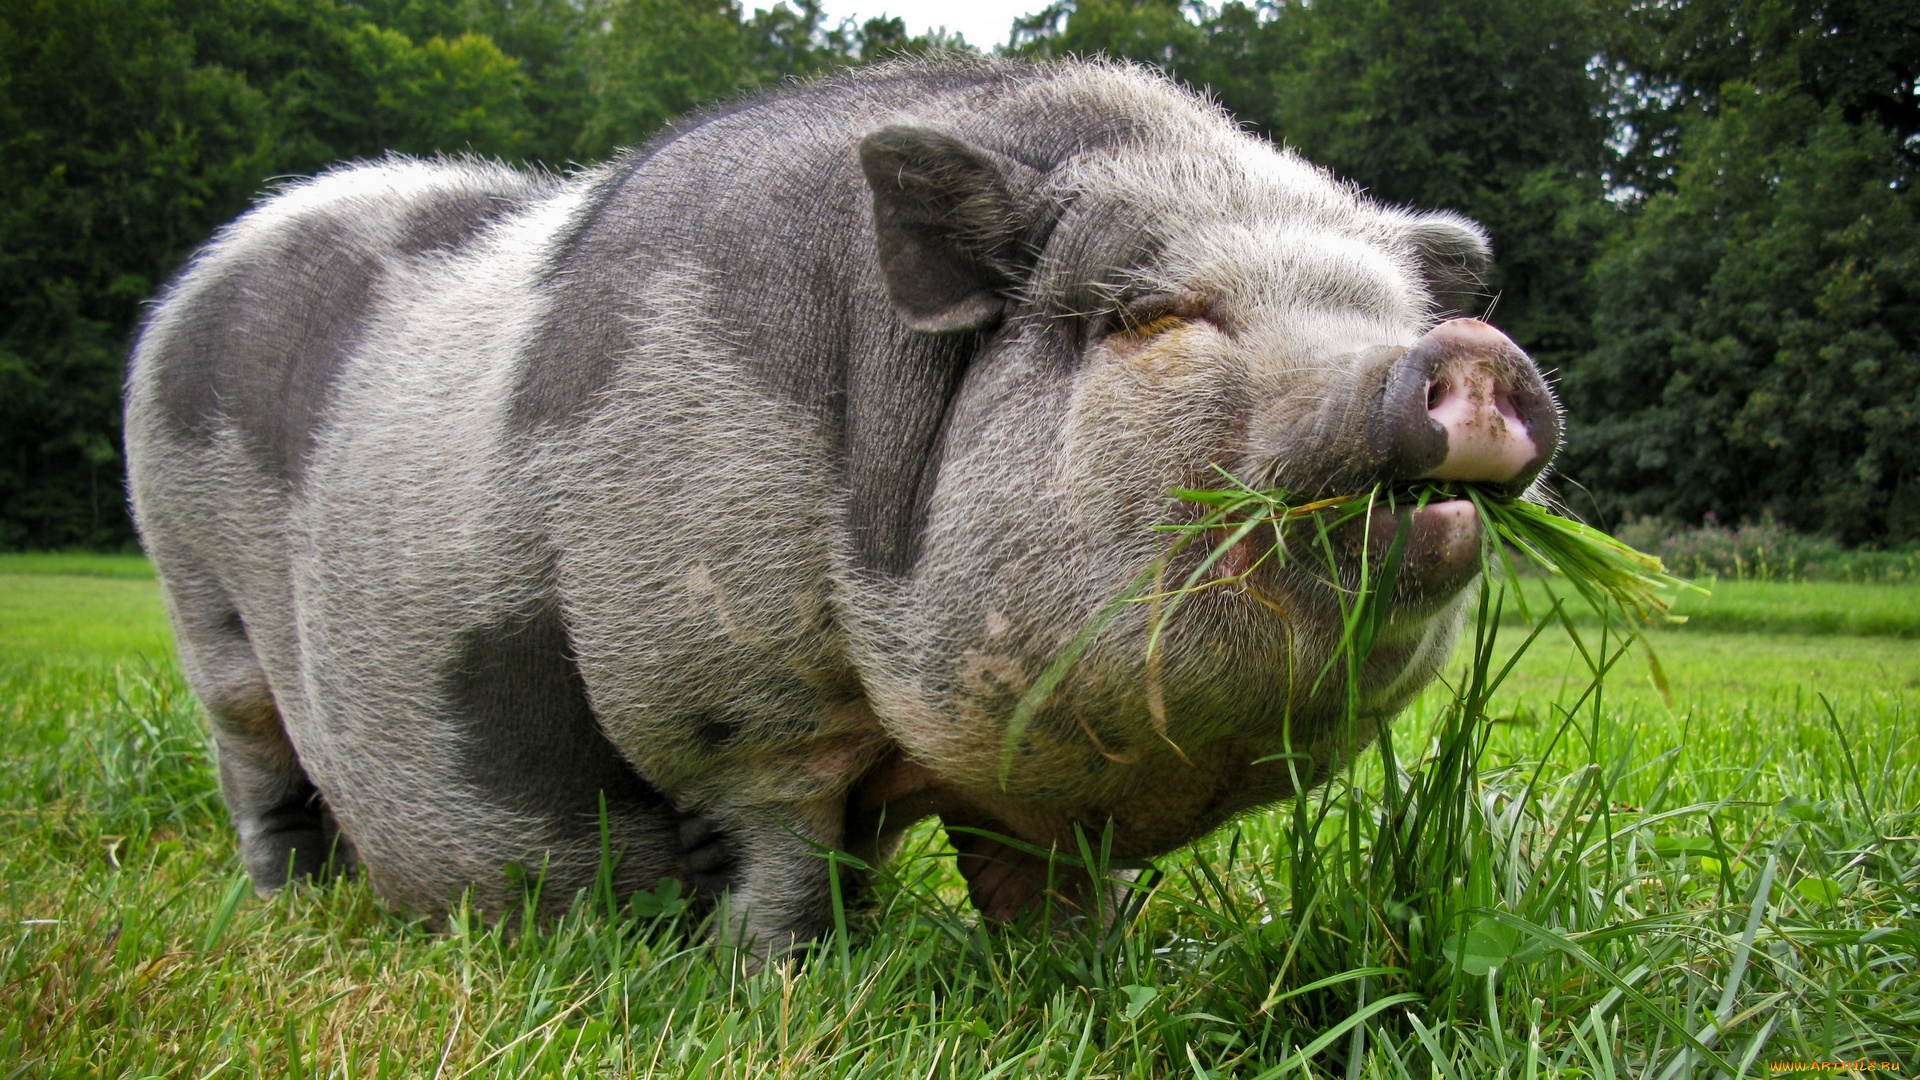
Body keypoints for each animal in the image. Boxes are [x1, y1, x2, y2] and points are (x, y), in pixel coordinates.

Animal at [123, 58, 1559, 956]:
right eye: (1157, 315)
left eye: (1397, 307)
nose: (1467, 353)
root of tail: (195, 277)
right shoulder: (726, 694)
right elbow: (782, 856)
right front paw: (791, 989)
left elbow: (1050, 894)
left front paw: (1086, 987)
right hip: (199, 601)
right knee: (260, 769)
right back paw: (290, 913)